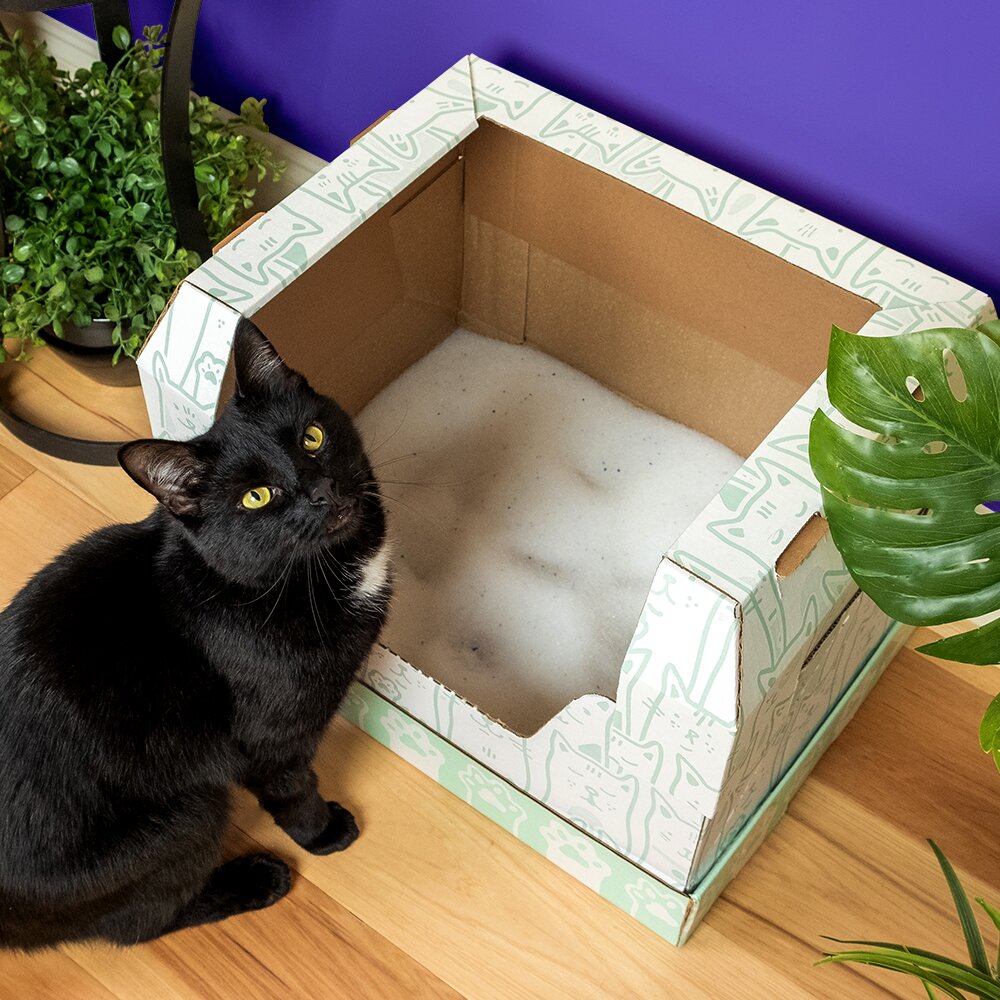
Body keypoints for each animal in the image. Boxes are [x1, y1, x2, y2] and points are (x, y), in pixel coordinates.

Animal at [0, 318, 392, 944]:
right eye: (256, 497)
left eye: (311, 437)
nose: (322, 492)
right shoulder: (269, 735)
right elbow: (292, 785)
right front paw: (322, 832)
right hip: (185, 815)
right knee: (141, 923)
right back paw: (257, 879)